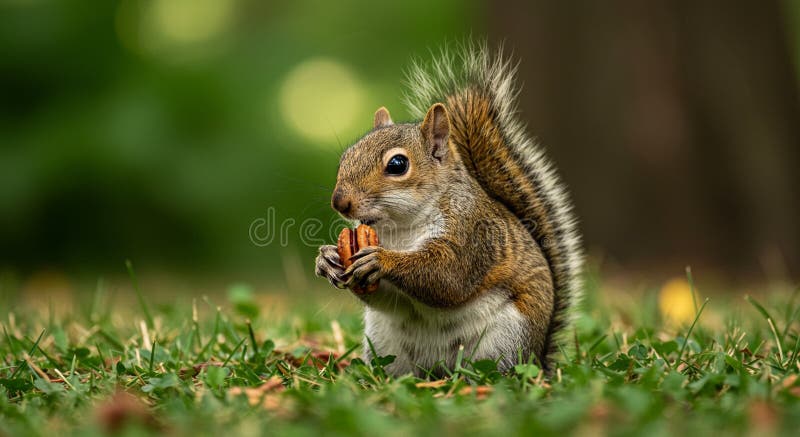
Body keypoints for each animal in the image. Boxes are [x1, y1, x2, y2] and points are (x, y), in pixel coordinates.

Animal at [315, 42, 583, 376]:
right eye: (346, 157)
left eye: (397, 164)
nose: (340, 202)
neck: (400, 229)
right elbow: (383, 298)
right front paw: (327, 258)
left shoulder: (472, 234)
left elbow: (446, 277)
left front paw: (382, 260)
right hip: (385, 343)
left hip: (507, 340)